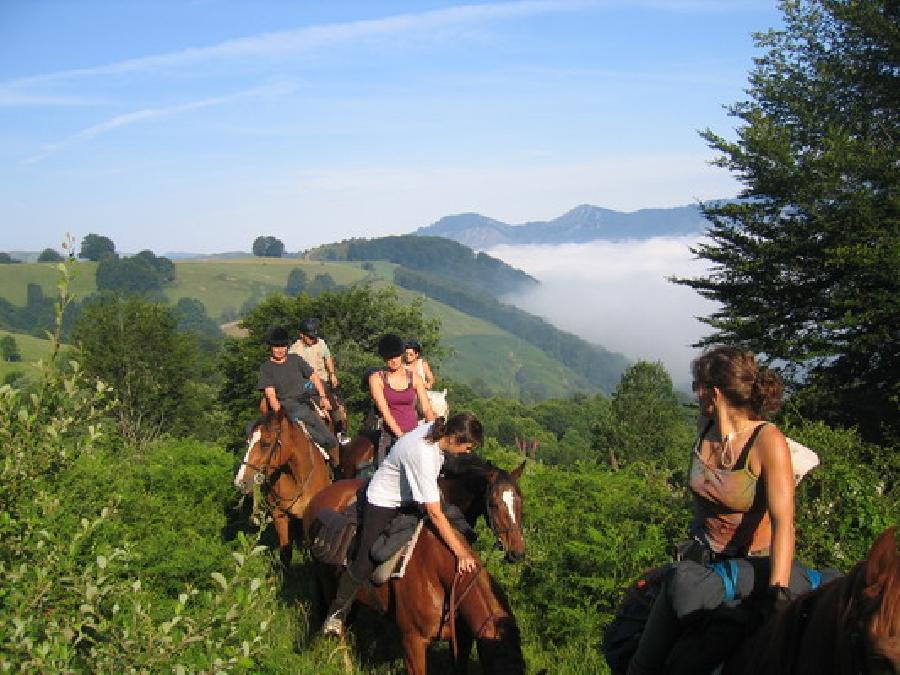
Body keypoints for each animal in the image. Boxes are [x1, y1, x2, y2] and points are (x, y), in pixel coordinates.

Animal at [234, 410, 332, 568]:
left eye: (266, 444)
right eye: (248, 442)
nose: (240, 482)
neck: (298, 478)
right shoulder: (279, 515)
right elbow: (285, 553)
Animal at [302, 478, 528, 672]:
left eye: (520, 504)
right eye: (493, 504)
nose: (517, 552)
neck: (443, 577)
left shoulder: (462, 643)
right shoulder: (413, 642)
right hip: (328, 584)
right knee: (336, 620)